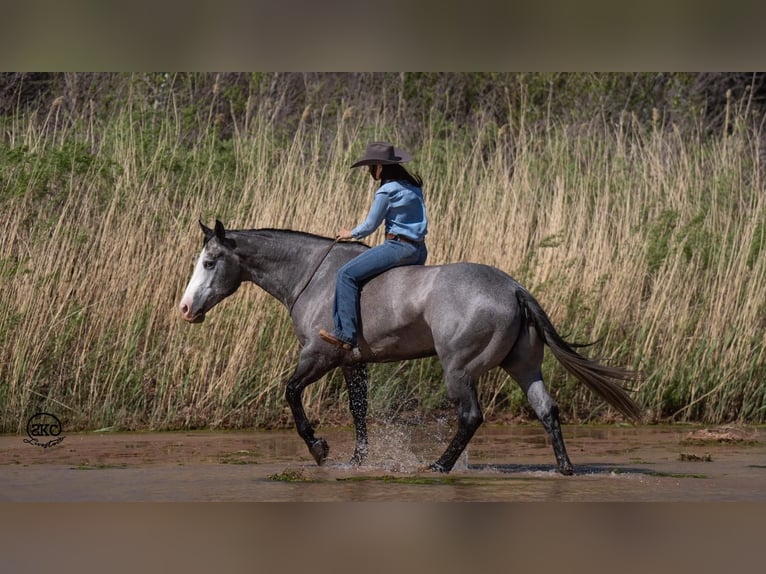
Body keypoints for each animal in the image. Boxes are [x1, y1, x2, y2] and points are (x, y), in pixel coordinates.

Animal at [178, 220, 640, 476]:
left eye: (209, 262)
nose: (185, 309)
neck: (314, 276)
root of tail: (513, 288)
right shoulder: (352, 363)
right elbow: (358, 411)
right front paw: (357, 461)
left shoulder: (319, 355)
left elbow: (291, 393)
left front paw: (319, 449)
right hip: (523, 367)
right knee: (547, 410)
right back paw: (565, 468)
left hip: (459, 371)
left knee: (471, 417)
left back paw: (439, 465)